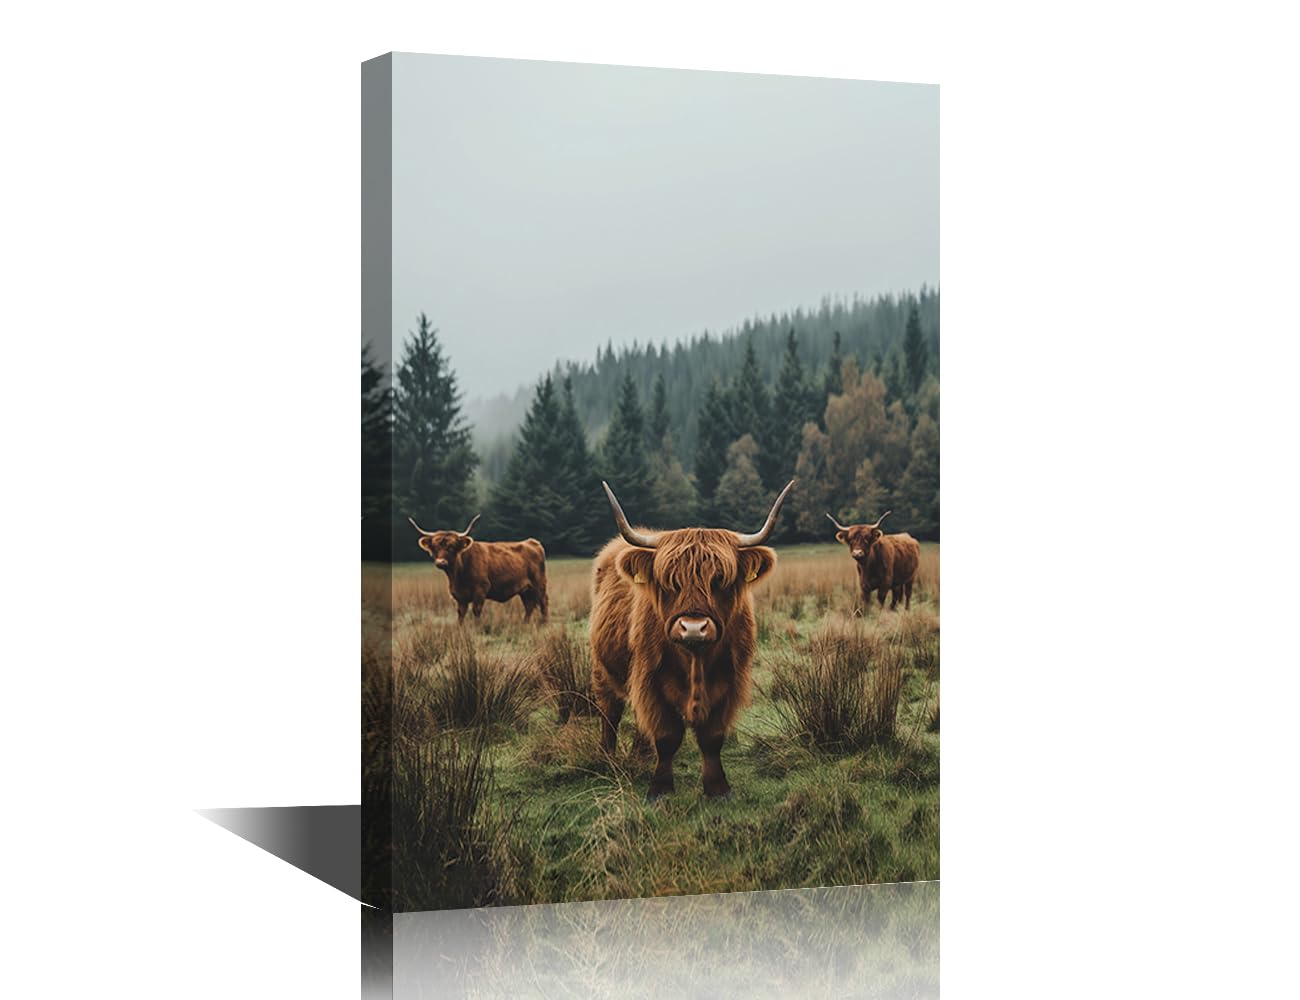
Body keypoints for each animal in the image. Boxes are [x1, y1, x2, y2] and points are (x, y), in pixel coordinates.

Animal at [407, 514, 549, 624]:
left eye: (451, 546)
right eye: (435, 547)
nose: (441, 562)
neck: (457, 575)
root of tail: (532, 542)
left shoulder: (480, 590)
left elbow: (476, 611)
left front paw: (477, 628)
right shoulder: (459, 596)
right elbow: (461, 613)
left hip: (539, 584)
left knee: (543, 602)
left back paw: (544, 624)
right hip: (525, 589)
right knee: (529, 606)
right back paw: (525, 624)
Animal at [590, 479, 795, 801]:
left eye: (720, 579)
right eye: (669, 581)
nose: (694, 628)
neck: (695, 660)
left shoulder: (730, 679)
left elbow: (712, 737)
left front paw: (718, 788)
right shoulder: (650, 679)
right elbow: (666, 735)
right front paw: (660, 789)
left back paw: (638, 755)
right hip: (602, 669)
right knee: (609, 712)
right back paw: (607, 759)